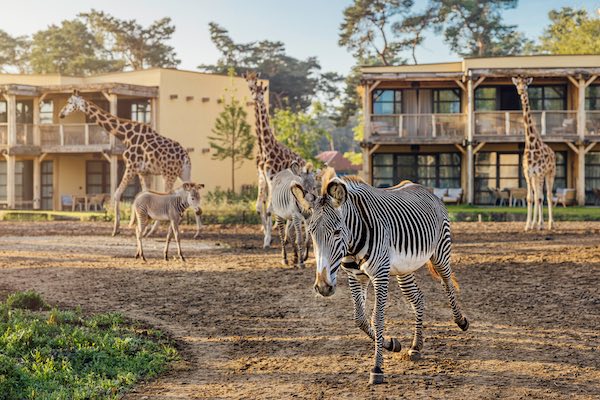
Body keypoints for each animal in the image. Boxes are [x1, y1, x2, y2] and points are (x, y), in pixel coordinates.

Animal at [59, 90, 203, 238]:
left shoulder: (131, 166)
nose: (61, 114)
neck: (125, 136)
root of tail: (185, 156)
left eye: (69, 102)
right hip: (184, 172)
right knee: (192, 188)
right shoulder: (142, 171)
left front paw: (116, 229)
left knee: (169, 194)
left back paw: (154, 230)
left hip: (168, 174)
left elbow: (117, 194)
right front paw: (142, 225)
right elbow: (145, 193)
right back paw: (197, 231)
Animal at [244, 71, 308, 247]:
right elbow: (260, 206)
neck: (265, 149)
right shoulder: (262, 176)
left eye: (262, 91)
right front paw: (267, 236)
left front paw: (268, 239)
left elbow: (269, 208)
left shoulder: (271, 178)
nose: (255, 98)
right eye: (251, 87)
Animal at [290, 171, 468, 384]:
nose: (323, 287)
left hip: (441, 252)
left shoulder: (380, 275)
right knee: (418, 298)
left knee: (447, 282)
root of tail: (423, 188)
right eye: (311, 233)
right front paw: (391, 343)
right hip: (403, 270)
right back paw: (416, 347)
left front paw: (377, 368)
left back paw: (461, 321)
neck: (352, 243)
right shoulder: (355, 276)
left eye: (337, 231)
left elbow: (377, 318)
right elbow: (359, 318)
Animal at [510, 76, 556, 230]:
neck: (530, 143)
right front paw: (528, 225)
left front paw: (540, 225)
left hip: (550, 173)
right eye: (517, 84)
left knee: (548, 196)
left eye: (526, 84)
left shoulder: (540, 172)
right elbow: (531, 198)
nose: (520, 91)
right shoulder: (528, 174)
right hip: (536, 177)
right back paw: (536, 224)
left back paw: (550, 224)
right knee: (537, 195)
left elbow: (540, 198)